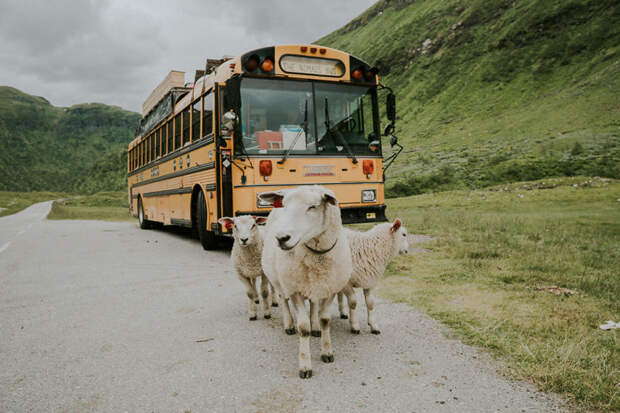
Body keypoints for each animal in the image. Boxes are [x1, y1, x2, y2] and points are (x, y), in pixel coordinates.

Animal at [258, 185, 354, 378]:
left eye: (313, 207)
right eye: (285, 206)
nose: (282, 238)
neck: (317, 256)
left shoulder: (330, 288)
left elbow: (325, 320)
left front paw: (327, 352)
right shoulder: (295, 290)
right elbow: (303, 328)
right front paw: (305, 366)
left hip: (315, 284)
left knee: (314, 304)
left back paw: (315, 326)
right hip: (280, 280)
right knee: (283, 300)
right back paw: (289, 325)